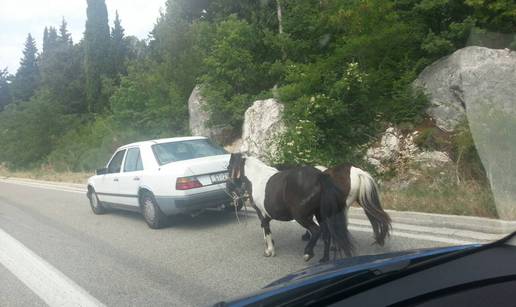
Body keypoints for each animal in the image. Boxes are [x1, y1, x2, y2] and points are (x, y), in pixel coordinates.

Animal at [226, 154, 354, 262]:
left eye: (228, 168)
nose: (228, 188)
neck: (256, 178)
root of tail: (320, 176)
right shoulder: (267, 216)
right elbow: (266, 229)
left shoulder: (261, 213)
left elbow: (266, 229)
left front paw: (269, 251)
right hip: (320, 214)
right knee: (326, 234)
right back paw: (324, 259)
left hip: (301, 216)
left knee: (316, 231)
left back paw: (308, 253)